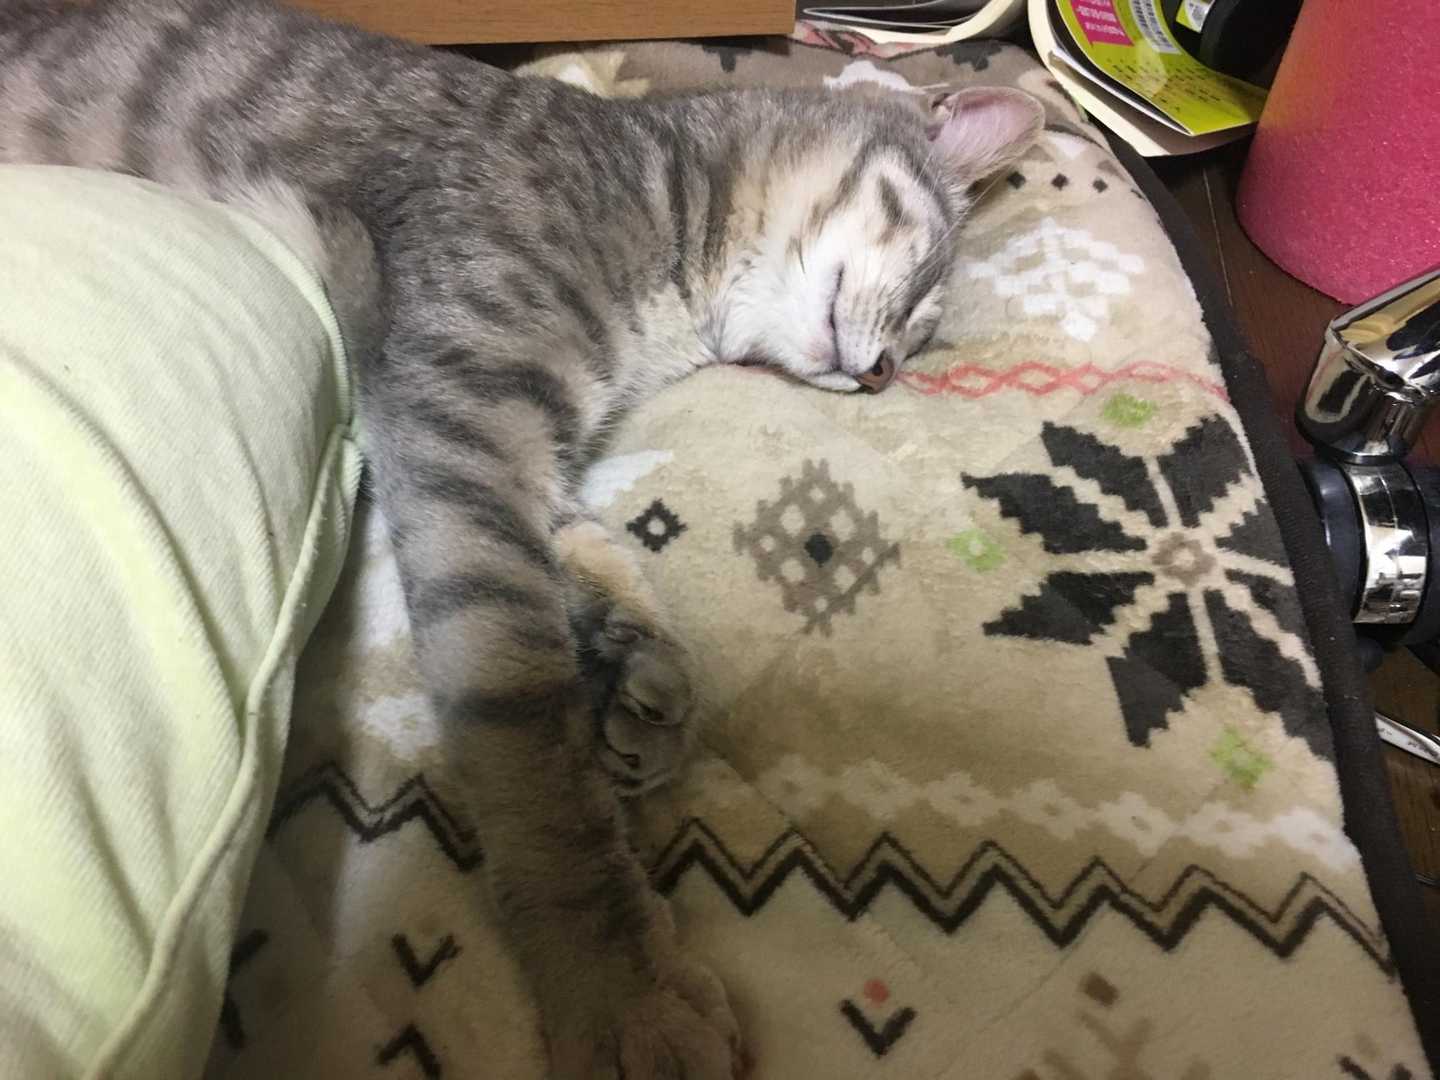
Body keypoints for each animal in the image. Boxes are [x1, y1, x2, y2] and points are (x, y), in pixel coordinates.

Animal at [0, 2, 1042, 1076]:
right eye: (923, 295)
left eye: (919, 341)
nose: (882, 375)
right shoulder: (463, 420)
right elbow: (531, 743)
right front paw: (620, 984)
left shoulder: (523, 451)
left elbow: (591, 550)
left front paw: (641, 672)